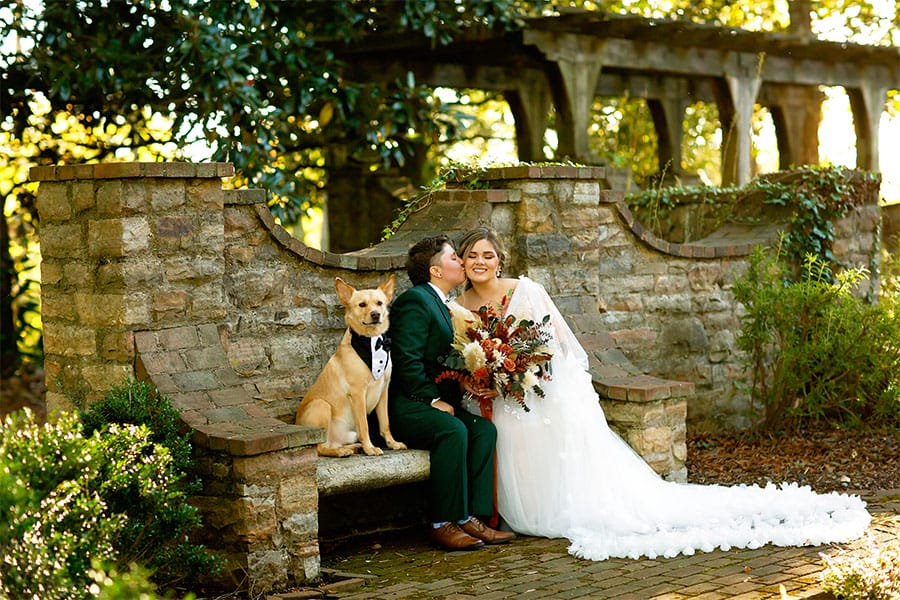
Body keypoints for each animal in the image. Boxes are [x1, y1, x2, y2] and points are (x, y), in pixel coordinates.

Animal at [296, 274, 408, 458]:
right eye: (362, 304)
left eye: (380, 303)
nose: (376, 314)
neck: (371, 342)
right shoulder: (357, 394)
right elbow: (364, 425)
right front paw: (370, 448)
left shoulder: (383, 391)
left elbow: (385, 424)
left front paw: (392, 443)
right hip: (321, 405)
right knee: (320, 448)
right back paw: (343, 451)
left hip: (348, 433)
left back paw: (353, 447)